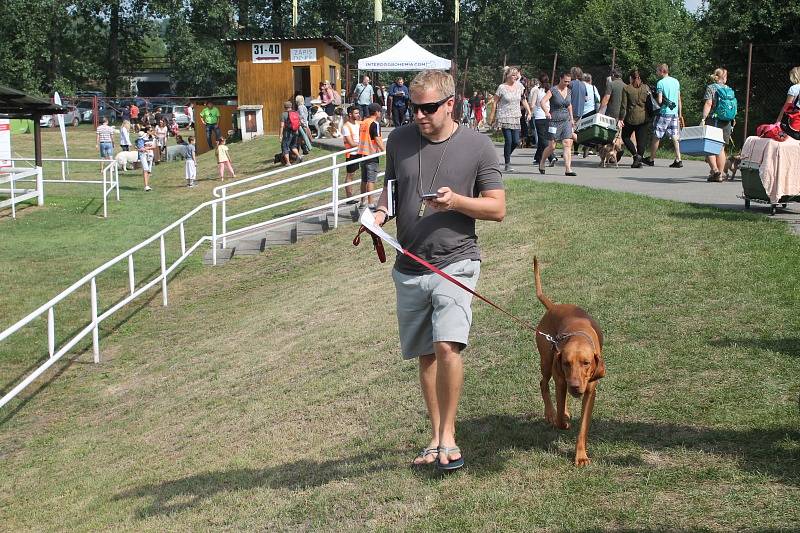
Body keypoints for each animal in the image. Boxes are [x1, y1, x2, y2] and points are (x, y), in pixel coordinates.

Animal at [536, 256, 604, 464]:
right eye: (566, 363)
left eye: (586, 363)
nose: (574, 386)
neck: (579, 335)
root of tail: (553, 307)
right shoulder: (561, 377)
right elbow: (559, 418)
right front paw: (562, 421)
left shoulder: (590, 391)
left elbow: (583, 427)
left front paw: (581, 456)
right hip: (547, 362)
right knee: (543, 383)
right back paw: (550, 413)